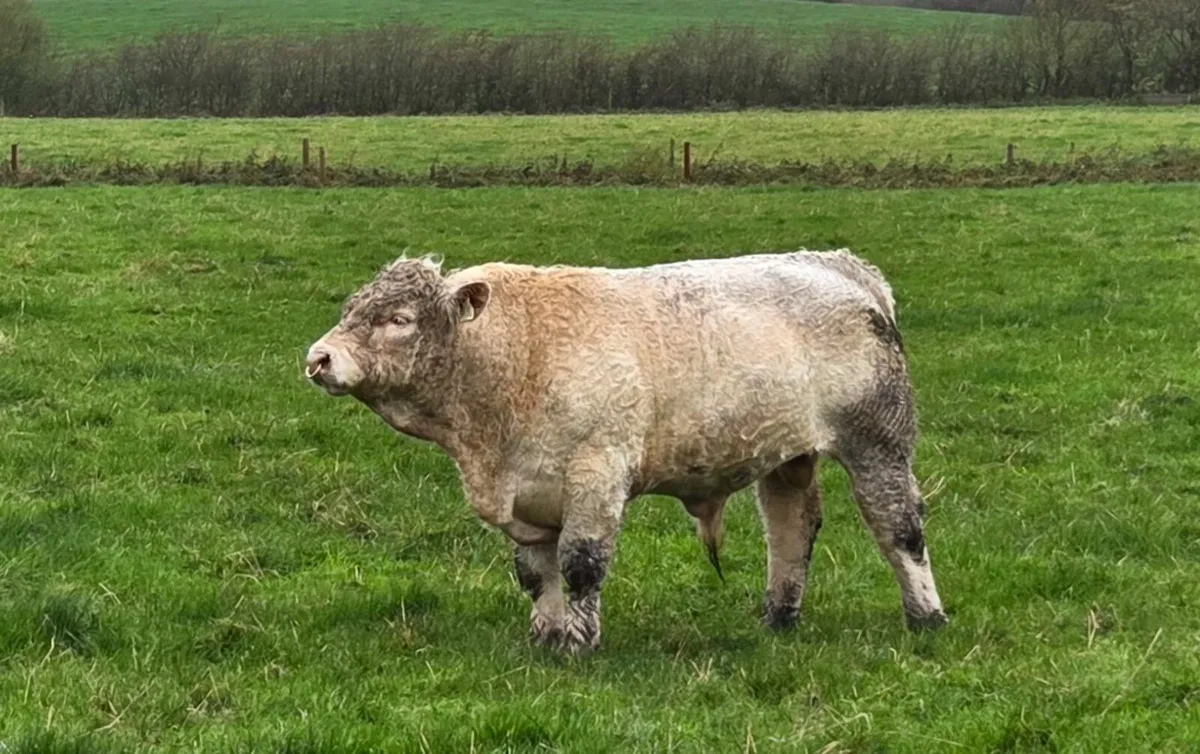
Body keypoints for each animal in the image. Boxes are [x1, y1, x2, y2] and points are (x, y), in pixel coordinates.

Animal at [304, 249, 948, 653]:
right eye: (351, 309)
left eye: (398, 318)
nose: (318, 358)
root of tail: (839, 264)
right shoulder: (527, 493)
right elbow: (536, 573)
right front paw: (546, 635)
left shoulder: (596, 473)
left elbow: (581, 564)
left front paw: (579, 643)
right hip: (787, 455)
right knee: (792, 528)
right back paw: (779, 617)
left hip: (878, 442)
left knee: (899, 527)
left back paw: (927, 616)